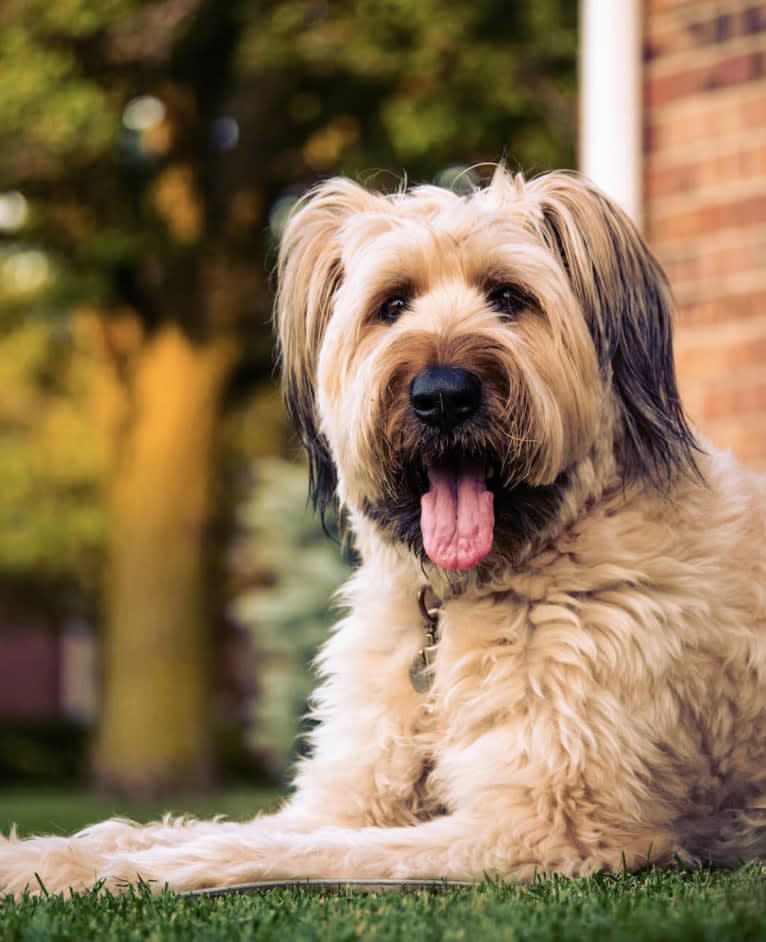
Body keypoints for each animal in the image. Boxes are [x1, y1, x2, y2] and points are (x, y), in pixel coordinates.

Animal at [1, 170, 766, 900]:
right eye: (392, 305)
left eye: (509, 297)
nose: (442, 396)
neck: (453, 606)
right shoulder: (352, 792)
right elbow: (186, 827)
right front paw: (43, 859)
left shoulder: (543, 825)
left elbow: (286, 852)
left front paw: (139, 870)